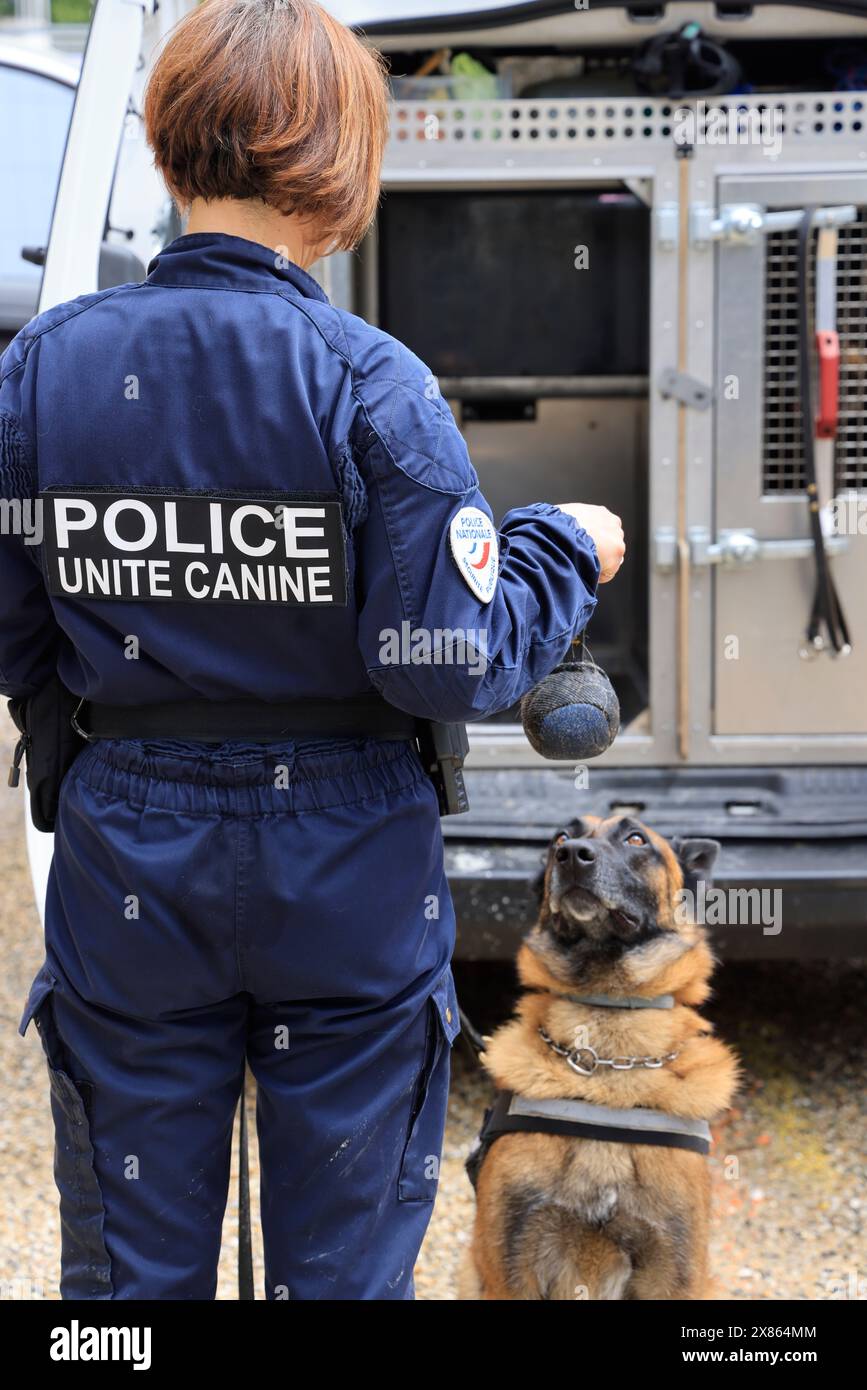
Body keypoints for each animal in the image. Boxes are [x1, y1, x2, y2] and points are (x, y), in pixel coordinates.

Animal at [461, 811, 739, 1301]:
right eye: (560, 837)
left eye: (636, 839)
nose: (571, 854)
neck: (610, 1065)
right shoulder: (508, 1271)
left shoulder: (674, 1274)